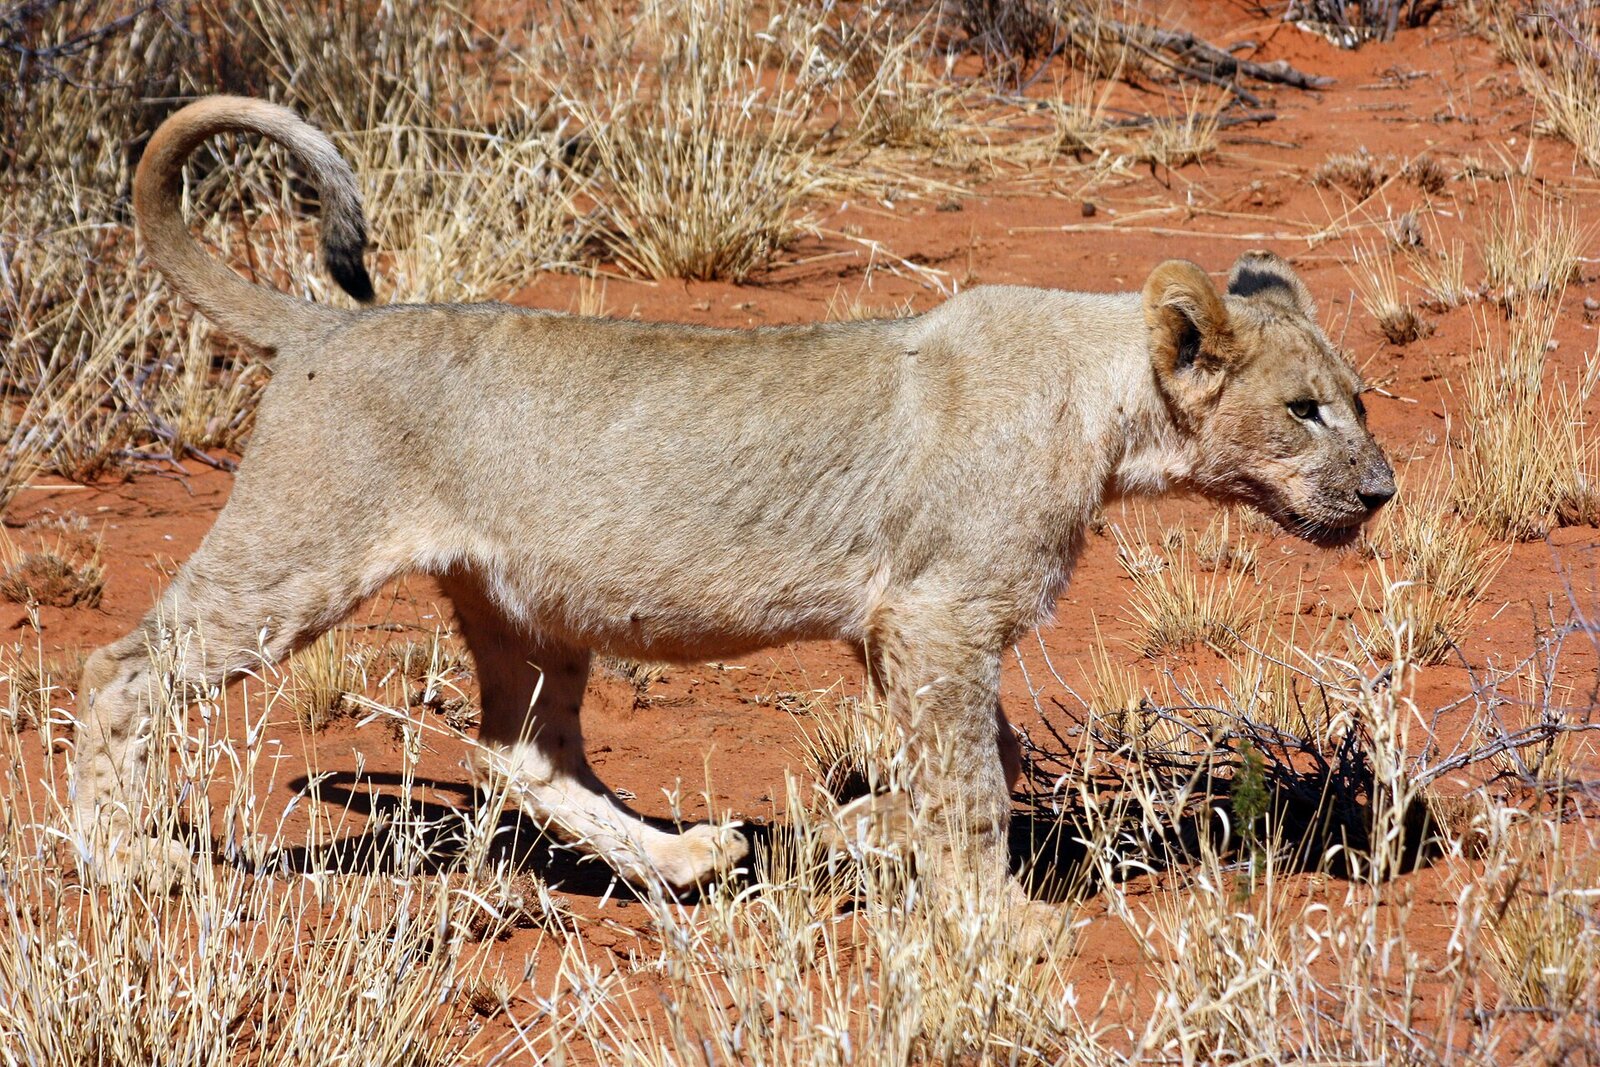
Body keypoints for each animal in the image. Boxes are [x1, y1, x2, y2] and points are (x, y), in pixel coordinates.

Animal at [75, 97, 1394, 916]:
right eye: (1304, 410)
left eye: (1358, 401)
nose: (1381, 488)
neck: (1099, 394)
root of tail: (326, 325)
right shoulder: (939, 612)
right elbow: (974, 777)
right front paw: (995, 917)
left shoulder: (897, 625)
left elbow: (975, 759)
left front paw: (861, 835)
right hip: (298, 553)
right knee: (128, 666)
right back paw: (123, 855)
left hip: (523, 604)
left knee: (523, 750)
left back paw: (688, 858)